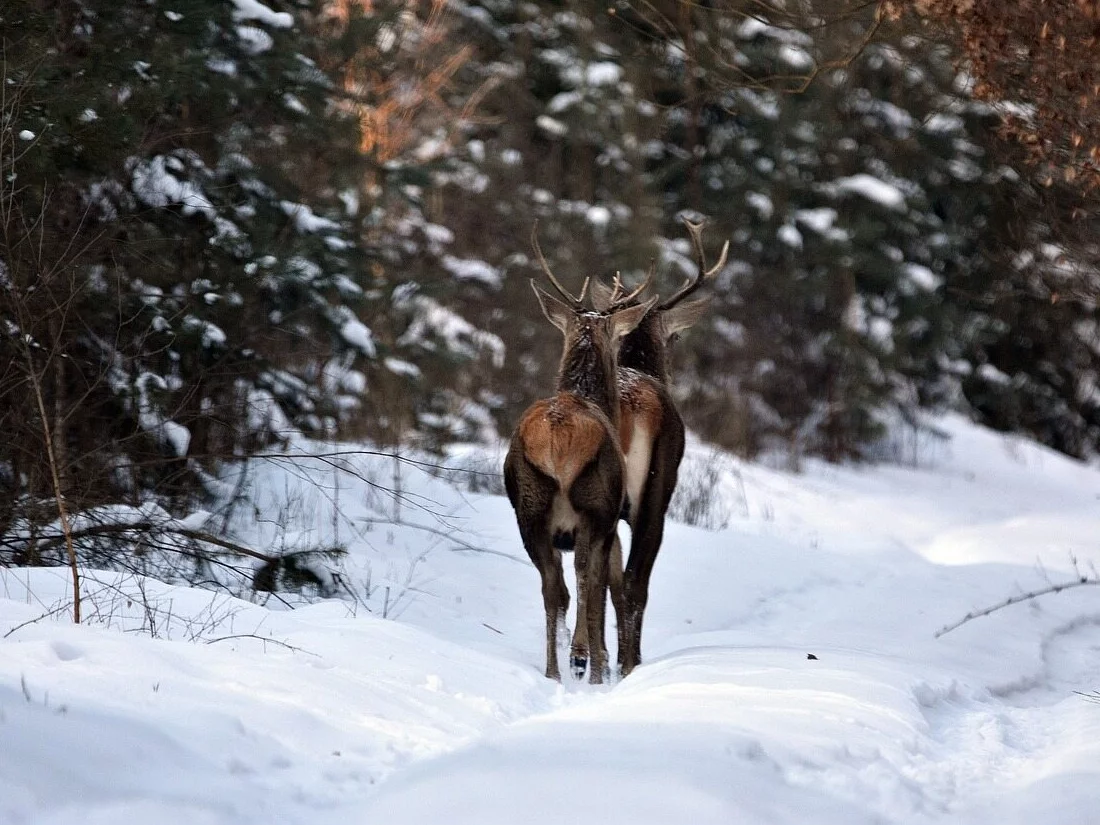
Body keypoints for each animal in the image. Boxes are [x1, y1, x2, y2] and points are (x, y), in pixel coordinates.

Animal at [503, 231, 651, 686]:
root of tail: (557, 434)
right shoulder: (607, 521)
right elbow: (601, 586)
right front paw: (596, 659)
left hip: (529, 508)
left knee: (553, 587)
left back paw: (553, 670)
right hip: (593, 504)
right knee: (585, 579)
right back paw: (587, 662)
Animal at [594, 216, 730, 673]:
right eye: (673, 338)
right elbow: (633, 581)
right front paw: (631, 660)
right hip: (654, 485)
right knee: (635, 581)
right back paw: (628, 663)